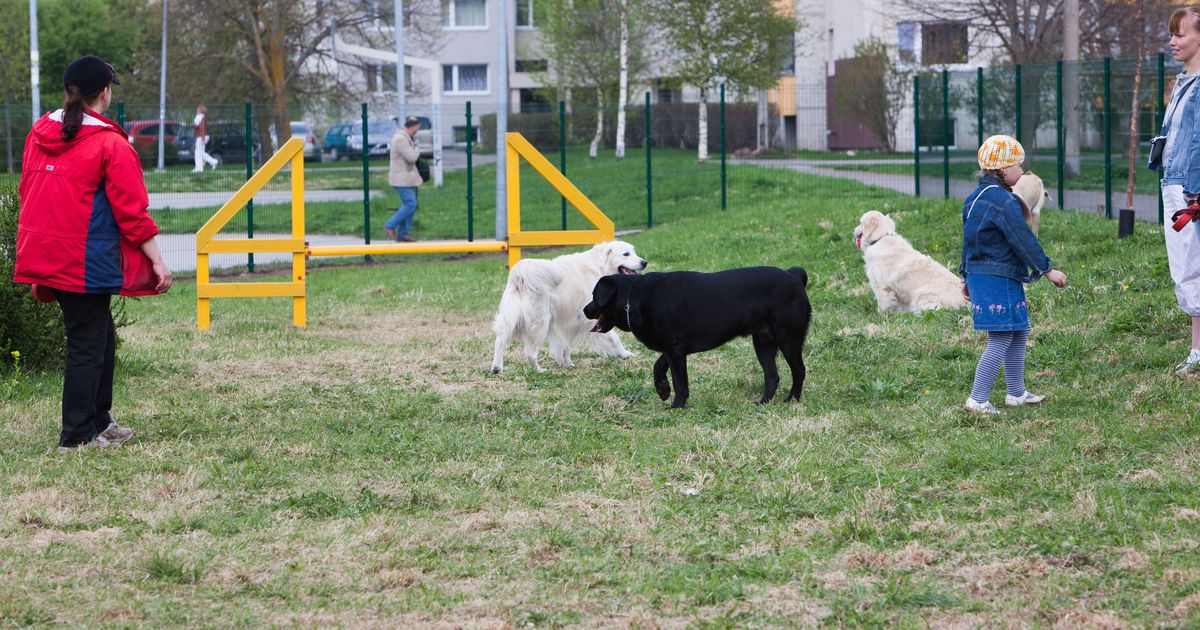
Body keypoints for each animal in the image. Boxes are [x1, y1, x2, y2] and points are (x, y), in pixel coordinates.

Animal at [492, 238, 652, 372]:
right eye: (626, 254)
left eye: (634, 252)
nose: (645, 262)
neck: (600, 267)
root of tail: (520, 277)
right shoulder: (592, 318)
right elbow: (614, 338)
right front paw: (625, 354)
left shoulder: (570, 321)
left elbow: (565, 344)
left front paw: (566, 362)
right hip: (540, 325)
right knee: (530, 353)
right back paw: (540, 370)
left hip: (511, 319)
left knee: (499, 341)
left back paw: (497, 368)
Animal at [583, 265, 816, 408]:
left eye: (594, 296)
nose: (585, 310)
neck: (634, 298)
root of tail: (794, 275)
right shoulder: (674, 348)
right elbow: (658, 366)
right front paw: (662, 389)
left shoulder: (675, 349)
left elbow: (680, 382)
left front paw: (676, 405)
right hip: (763, 341)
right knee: (772, 376)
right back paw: (763, 402)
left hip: (788, 339)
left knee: (799, 371)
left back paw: (792, 399)